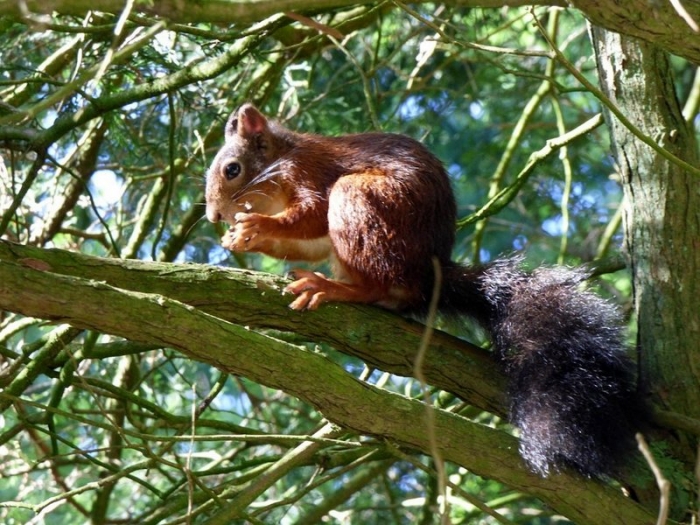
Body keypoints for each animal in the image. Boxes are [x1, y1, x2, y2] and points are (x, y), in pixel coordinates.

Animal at [205, 103, 645, 478]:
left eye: (232, 169)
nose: (213, 216)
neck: (281, 160)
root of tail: (426, 279)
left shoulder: (309, 173)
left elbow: (311, 213)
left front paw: (257, 226)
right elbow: (307, 243)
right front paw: (240, 238)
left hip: (361, 199)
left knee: (373, 283)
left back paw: (332, 288)